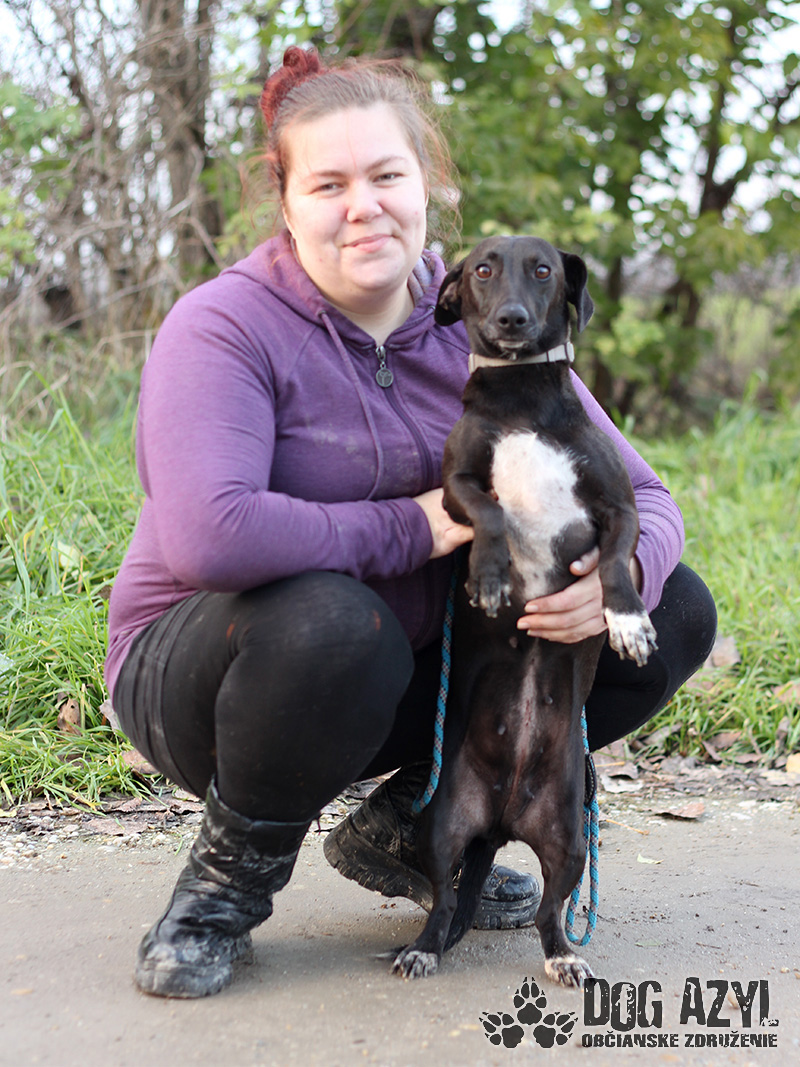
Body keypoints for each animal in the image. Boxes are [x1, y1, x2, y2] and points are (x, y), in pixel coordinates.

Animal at [392, 235, 657, 987]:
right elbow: (488, 512)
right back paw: (423, 947)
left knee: (550, 912)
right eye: (483, 268)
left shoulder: (618, 505)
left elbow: (616, 562)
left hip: (570, 832)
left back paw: (565, 957)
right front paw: (489, 576)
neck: (520, 402)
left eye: (543, 270)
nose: (511, 318)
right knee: (442, 899)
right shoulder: (455, 482)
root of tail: (505, 819)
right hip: (442, 824)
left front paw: (626, 622)